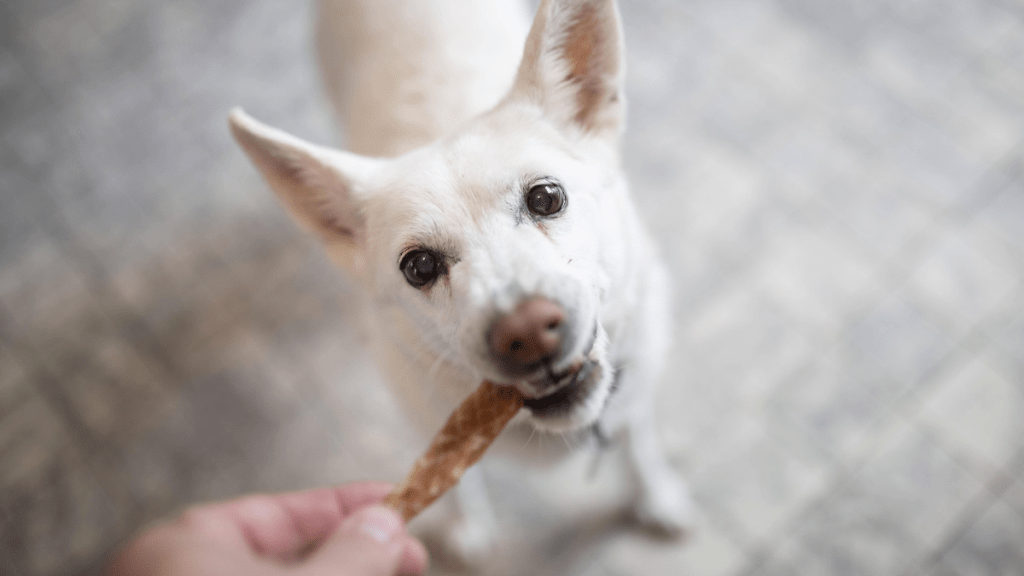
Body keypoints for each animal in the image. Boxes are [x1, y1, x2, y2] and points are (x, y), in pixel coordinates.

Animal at [229, 0, 692, 557]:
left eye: (546, 198)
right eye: (419, 267)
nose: (527, 332)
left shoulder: (637, 385)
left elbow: (639, 443)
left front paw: (657, 495)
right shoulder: (427, 421)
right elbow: (454, 481)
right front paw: (464, 530)